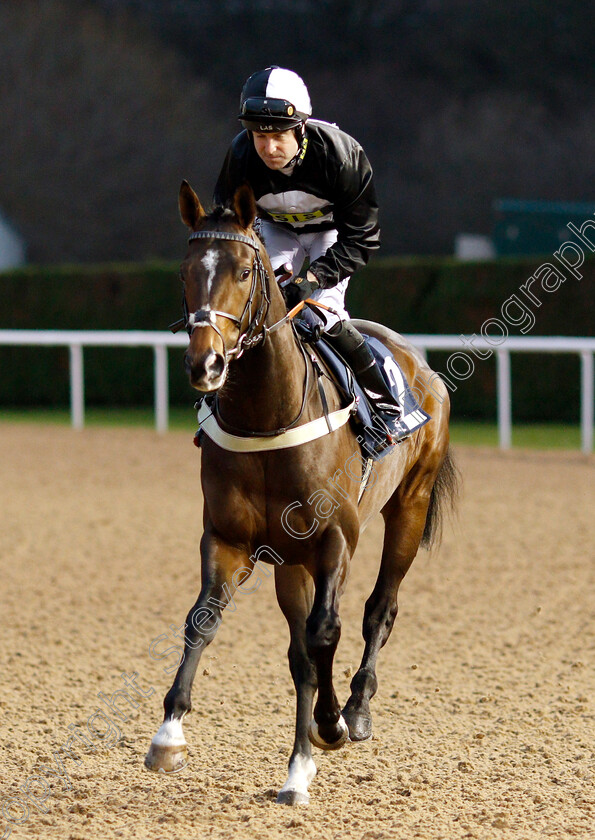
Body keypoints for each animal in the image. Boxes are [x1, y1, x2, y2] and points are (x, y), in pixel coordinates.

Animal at [146, 180, 460, 804]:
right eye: (185, 271)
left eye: (246, 270)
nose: (205, 363)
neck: (268, 417)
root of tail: (422, 366)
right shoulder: (229, 539)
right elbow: (204, 621)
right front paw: (168, 735)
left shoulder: (336, 537)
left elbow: (325, 632)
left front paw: (318, 741)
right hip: (289, 559)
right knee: (302, 650)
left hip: (408, 506)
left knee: (377, 609)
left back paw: (354, 711)